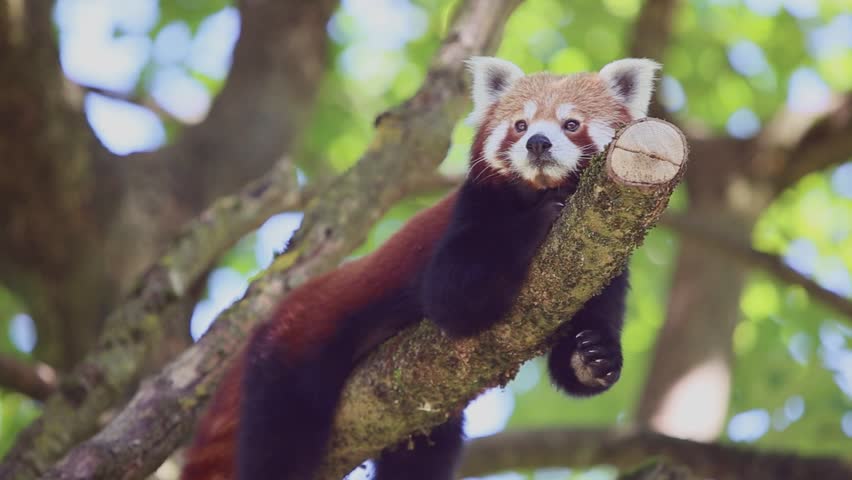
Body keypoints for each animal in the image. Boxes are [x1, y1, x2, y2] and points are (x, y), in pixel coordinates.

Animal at [180, 55, 660, 480]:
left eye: (571, 124)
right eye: (520, 126)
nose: (537, 143)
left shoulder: (601, 252)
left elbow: (587, 337)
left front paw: (592, 356)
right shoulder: (472, 210)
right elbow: (452, 299)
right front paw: (542, 216)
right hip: (290, 359)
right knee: (280, 446)